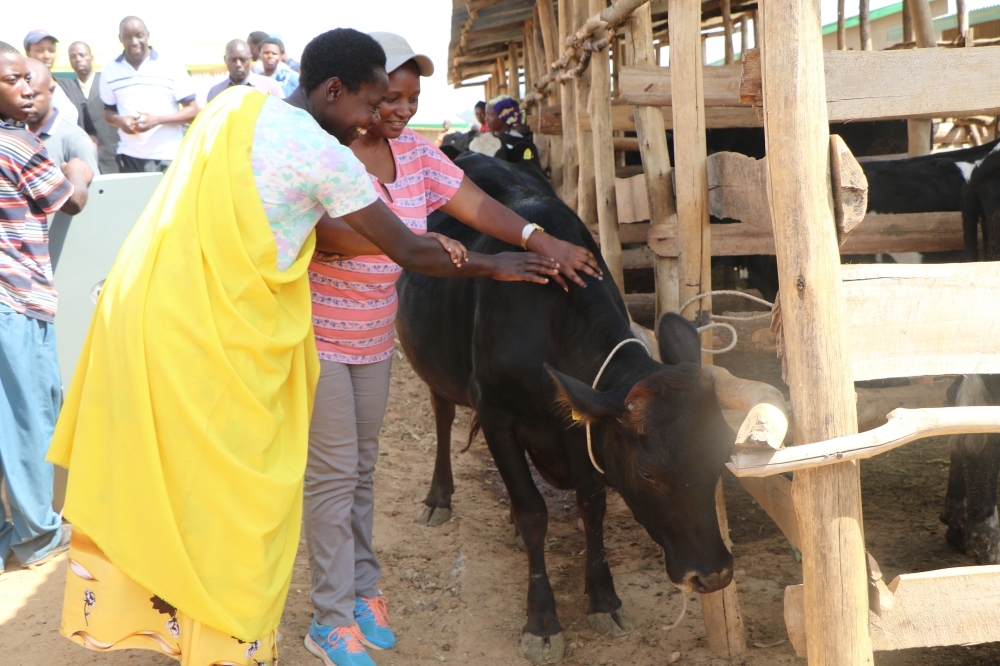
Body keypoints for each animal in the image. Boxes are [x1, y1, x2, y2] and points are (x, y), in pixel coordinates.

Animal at [396, 153, 736, 660]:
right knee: (442, 416)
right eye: (647, 472)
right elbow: (534, 512)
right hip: (437, 368)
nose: (712, 574)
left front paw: (603, 598)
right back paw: (439, 497)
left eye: (722, 454)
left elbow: (591, 506)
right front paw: (541, 621)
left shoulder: (586, 430)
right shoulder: (495, 414)